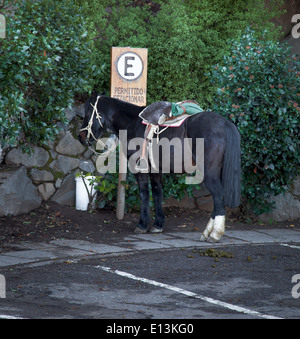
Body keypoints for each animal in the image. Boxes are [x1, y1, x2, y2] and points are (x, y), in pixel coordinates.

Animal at [79, 91, 241, 243]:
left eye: (88, 111)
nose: (80, 137)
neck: (132, 123)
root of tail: (225, 124)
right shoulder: (156, 171)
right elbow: (157, 194)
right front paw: (158, 225)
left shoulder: (140, 170)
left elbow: (144, 195)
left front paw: (142, 224)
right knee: (217, 200)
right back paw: (207, 233)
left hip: (210, 175)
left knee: (218, 197)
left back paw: (215, 234)